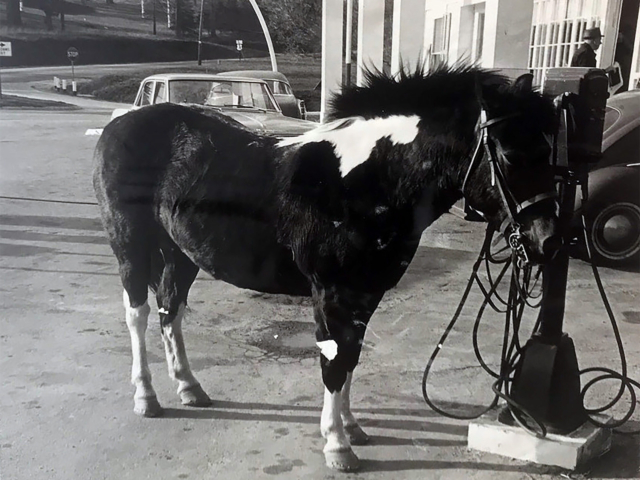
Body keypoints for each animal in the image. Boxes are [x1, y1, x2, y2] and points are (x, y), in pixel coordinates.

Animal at [93, 64, 560, 472]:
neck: (365, 181)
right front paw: (338, 446)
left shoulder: (365, 292)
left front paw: (351, 428)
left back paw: (189, 387)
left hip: (180, 254)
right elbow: (335, 362)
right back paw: (147, 397)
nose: (548, 240)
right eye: (509, 154)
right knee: (138, 314)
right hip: (130, 246)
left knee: (170, 310)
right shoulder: (333, 293)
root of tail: (118, 125)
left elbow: (352, 356)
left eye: (548, 151)